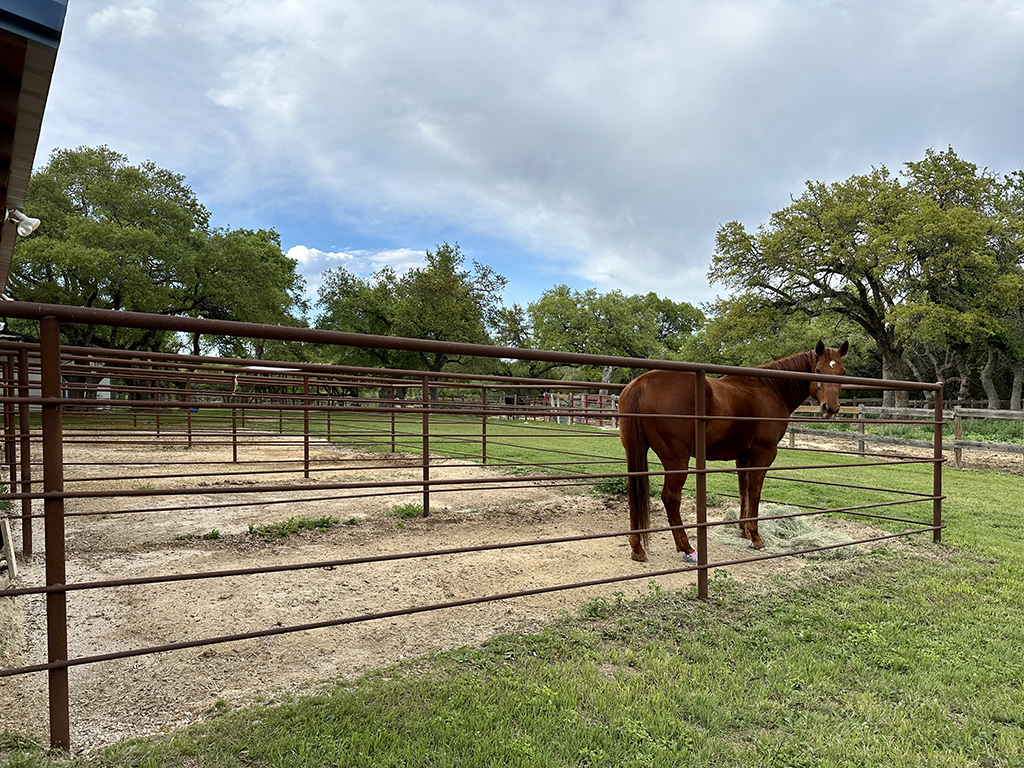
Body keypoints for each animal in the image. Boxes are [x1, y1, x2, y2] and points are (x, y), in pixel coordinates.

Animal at [618, 340, 849, 562]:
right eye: (817, 370)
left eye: (842, 372)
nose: (830, 408)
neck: (772, 389)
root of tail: (641, 384)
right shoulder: (763, 453)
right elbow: (755, 491)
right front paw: (755, 536)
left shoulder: (743, 456)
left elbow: (743, 490)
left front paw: (743, 530)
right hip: (676, 460)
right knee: (671, 498)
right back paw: (687, 548)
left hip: (636, 452)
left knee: (633, 490)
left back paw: (637, 548)